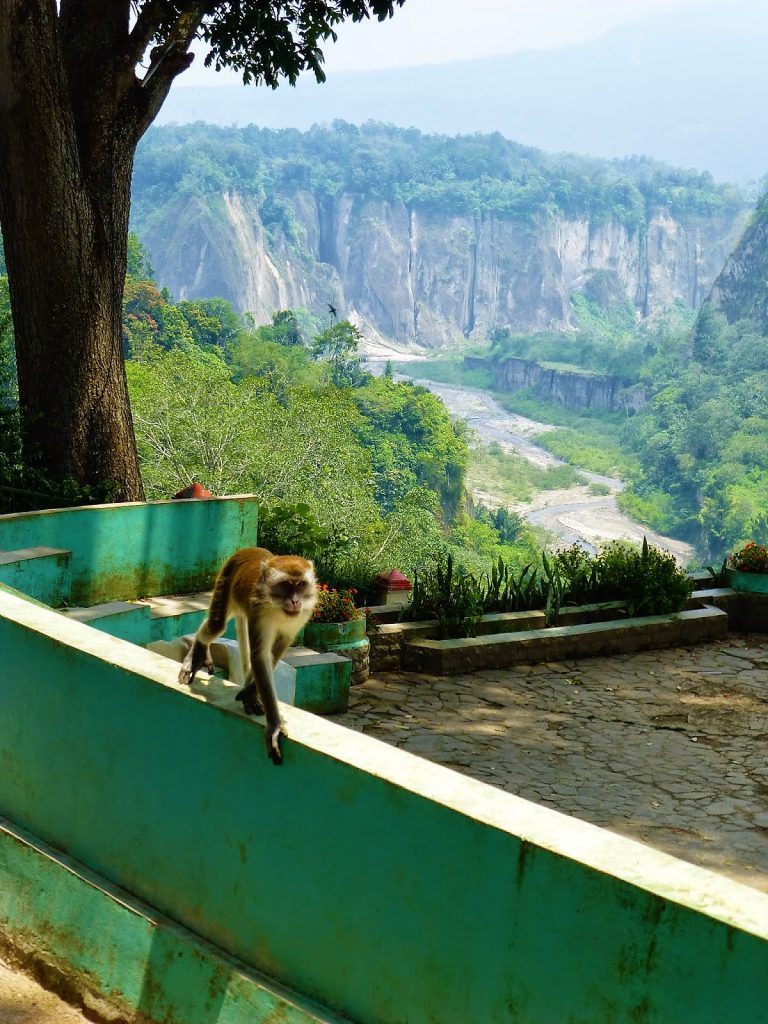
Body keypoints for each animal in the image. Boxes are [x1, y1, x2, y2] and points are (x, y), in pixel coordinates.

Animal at [179, 548, 317, 765]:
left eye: (301, 584)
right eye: (286, 584)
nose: (295, 601)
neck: (276, 605)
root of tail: (251, 549)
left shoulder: (300, 616)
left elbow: (276, 651)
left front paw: (250, 693)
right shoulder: (259, 613)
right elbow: (260, 656)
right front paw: (275, 725)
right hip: (225, 581)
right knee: (216, 625)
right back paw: (197, 650)